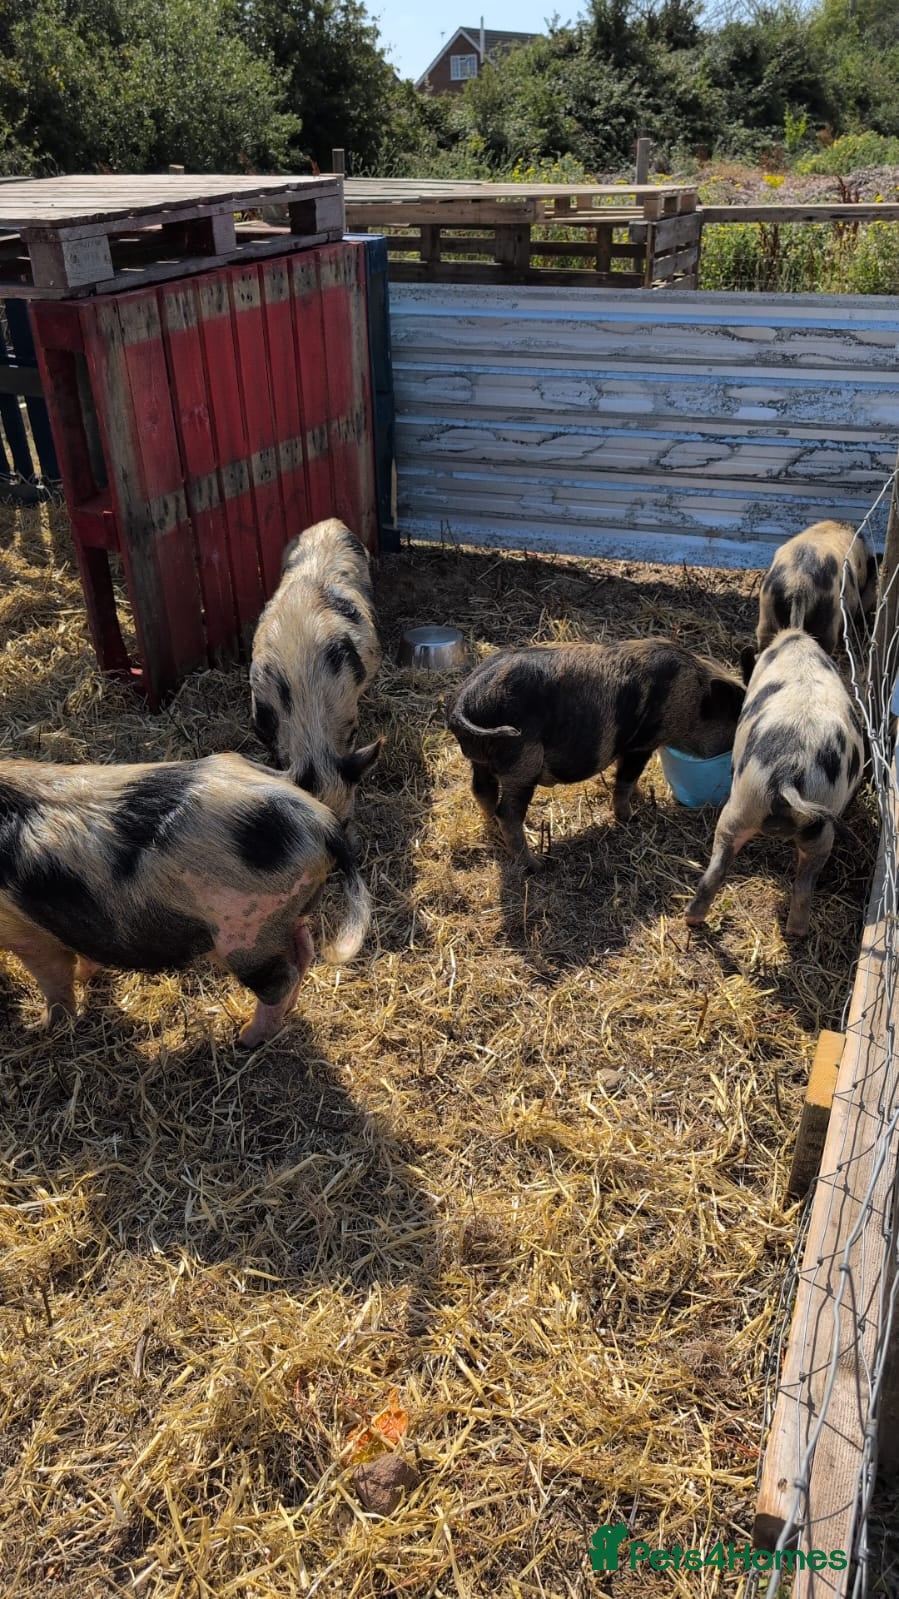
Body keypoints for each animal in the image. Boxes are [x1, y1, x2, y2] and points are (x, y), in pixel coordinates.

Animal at [0, 753, 371, 1047]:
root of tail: (323, 823)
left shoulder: (26, 933)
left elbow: (53, 978)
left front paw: (42, 1027)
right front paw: (84, 979)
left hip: (245, 931)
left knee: (279, 979)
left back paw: (245, 1039)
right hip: (282, 917)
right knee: (303, 950)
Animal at [445, 639, 746, 871]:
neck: (692, 702)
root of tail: (464, 700)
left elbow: (626, 779)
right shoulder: (641, 744)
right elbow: (625, 780)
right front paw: (631, 818)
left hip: (480, 760)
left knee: (482, 792)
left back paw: (498, 831)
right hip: (521, 760)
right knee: (507, 811)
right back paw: (536, 865)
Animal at [685, 630, 865, 937]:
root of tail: (788, 772)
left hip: (745, 806)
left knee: (718, 871)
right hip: (814, 823)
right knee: (803, 884)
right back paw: (794, 933)